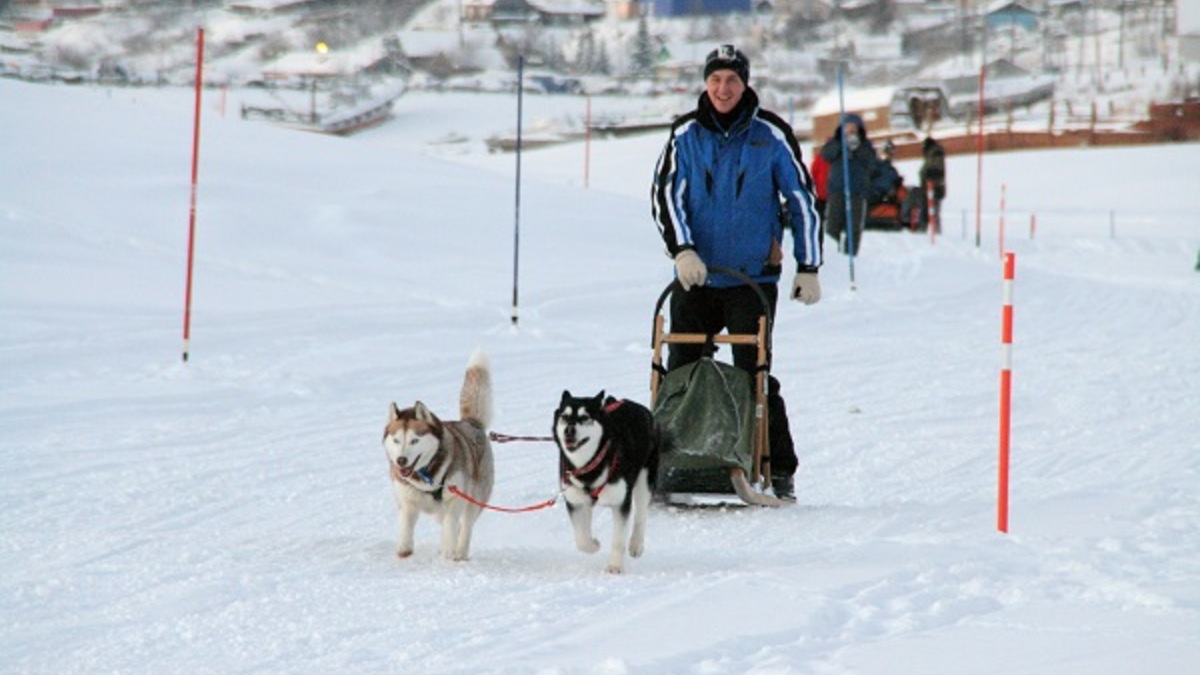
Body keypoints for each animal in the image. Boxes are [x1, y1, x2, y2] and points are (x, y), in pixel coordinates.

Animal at [386, 348, 494, 559]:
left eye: (414, 440)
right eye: (396, 440)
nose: (401, 460)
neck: (426, 476)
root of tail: (471, 423)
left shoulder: (455, 500)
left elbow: (451, 528)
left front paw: (449, 554)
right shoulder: (407, 503)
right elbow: (405, 531)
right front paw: (404, 552)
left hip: (474, 499)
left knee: (465, 527)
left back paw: (460, 554)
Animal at [552, 389, 667, 571]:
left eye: (585, 417)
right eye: (565, 416)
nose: (569, 431)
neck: (591, 464)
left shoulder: (621, 503)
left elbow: (619, 540)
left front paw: (615, 566)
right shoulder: (575, 501)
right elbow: (581, 538)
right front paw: (593, 544)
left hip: (645, 481)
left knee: (641, 514)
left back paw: (636, 544)